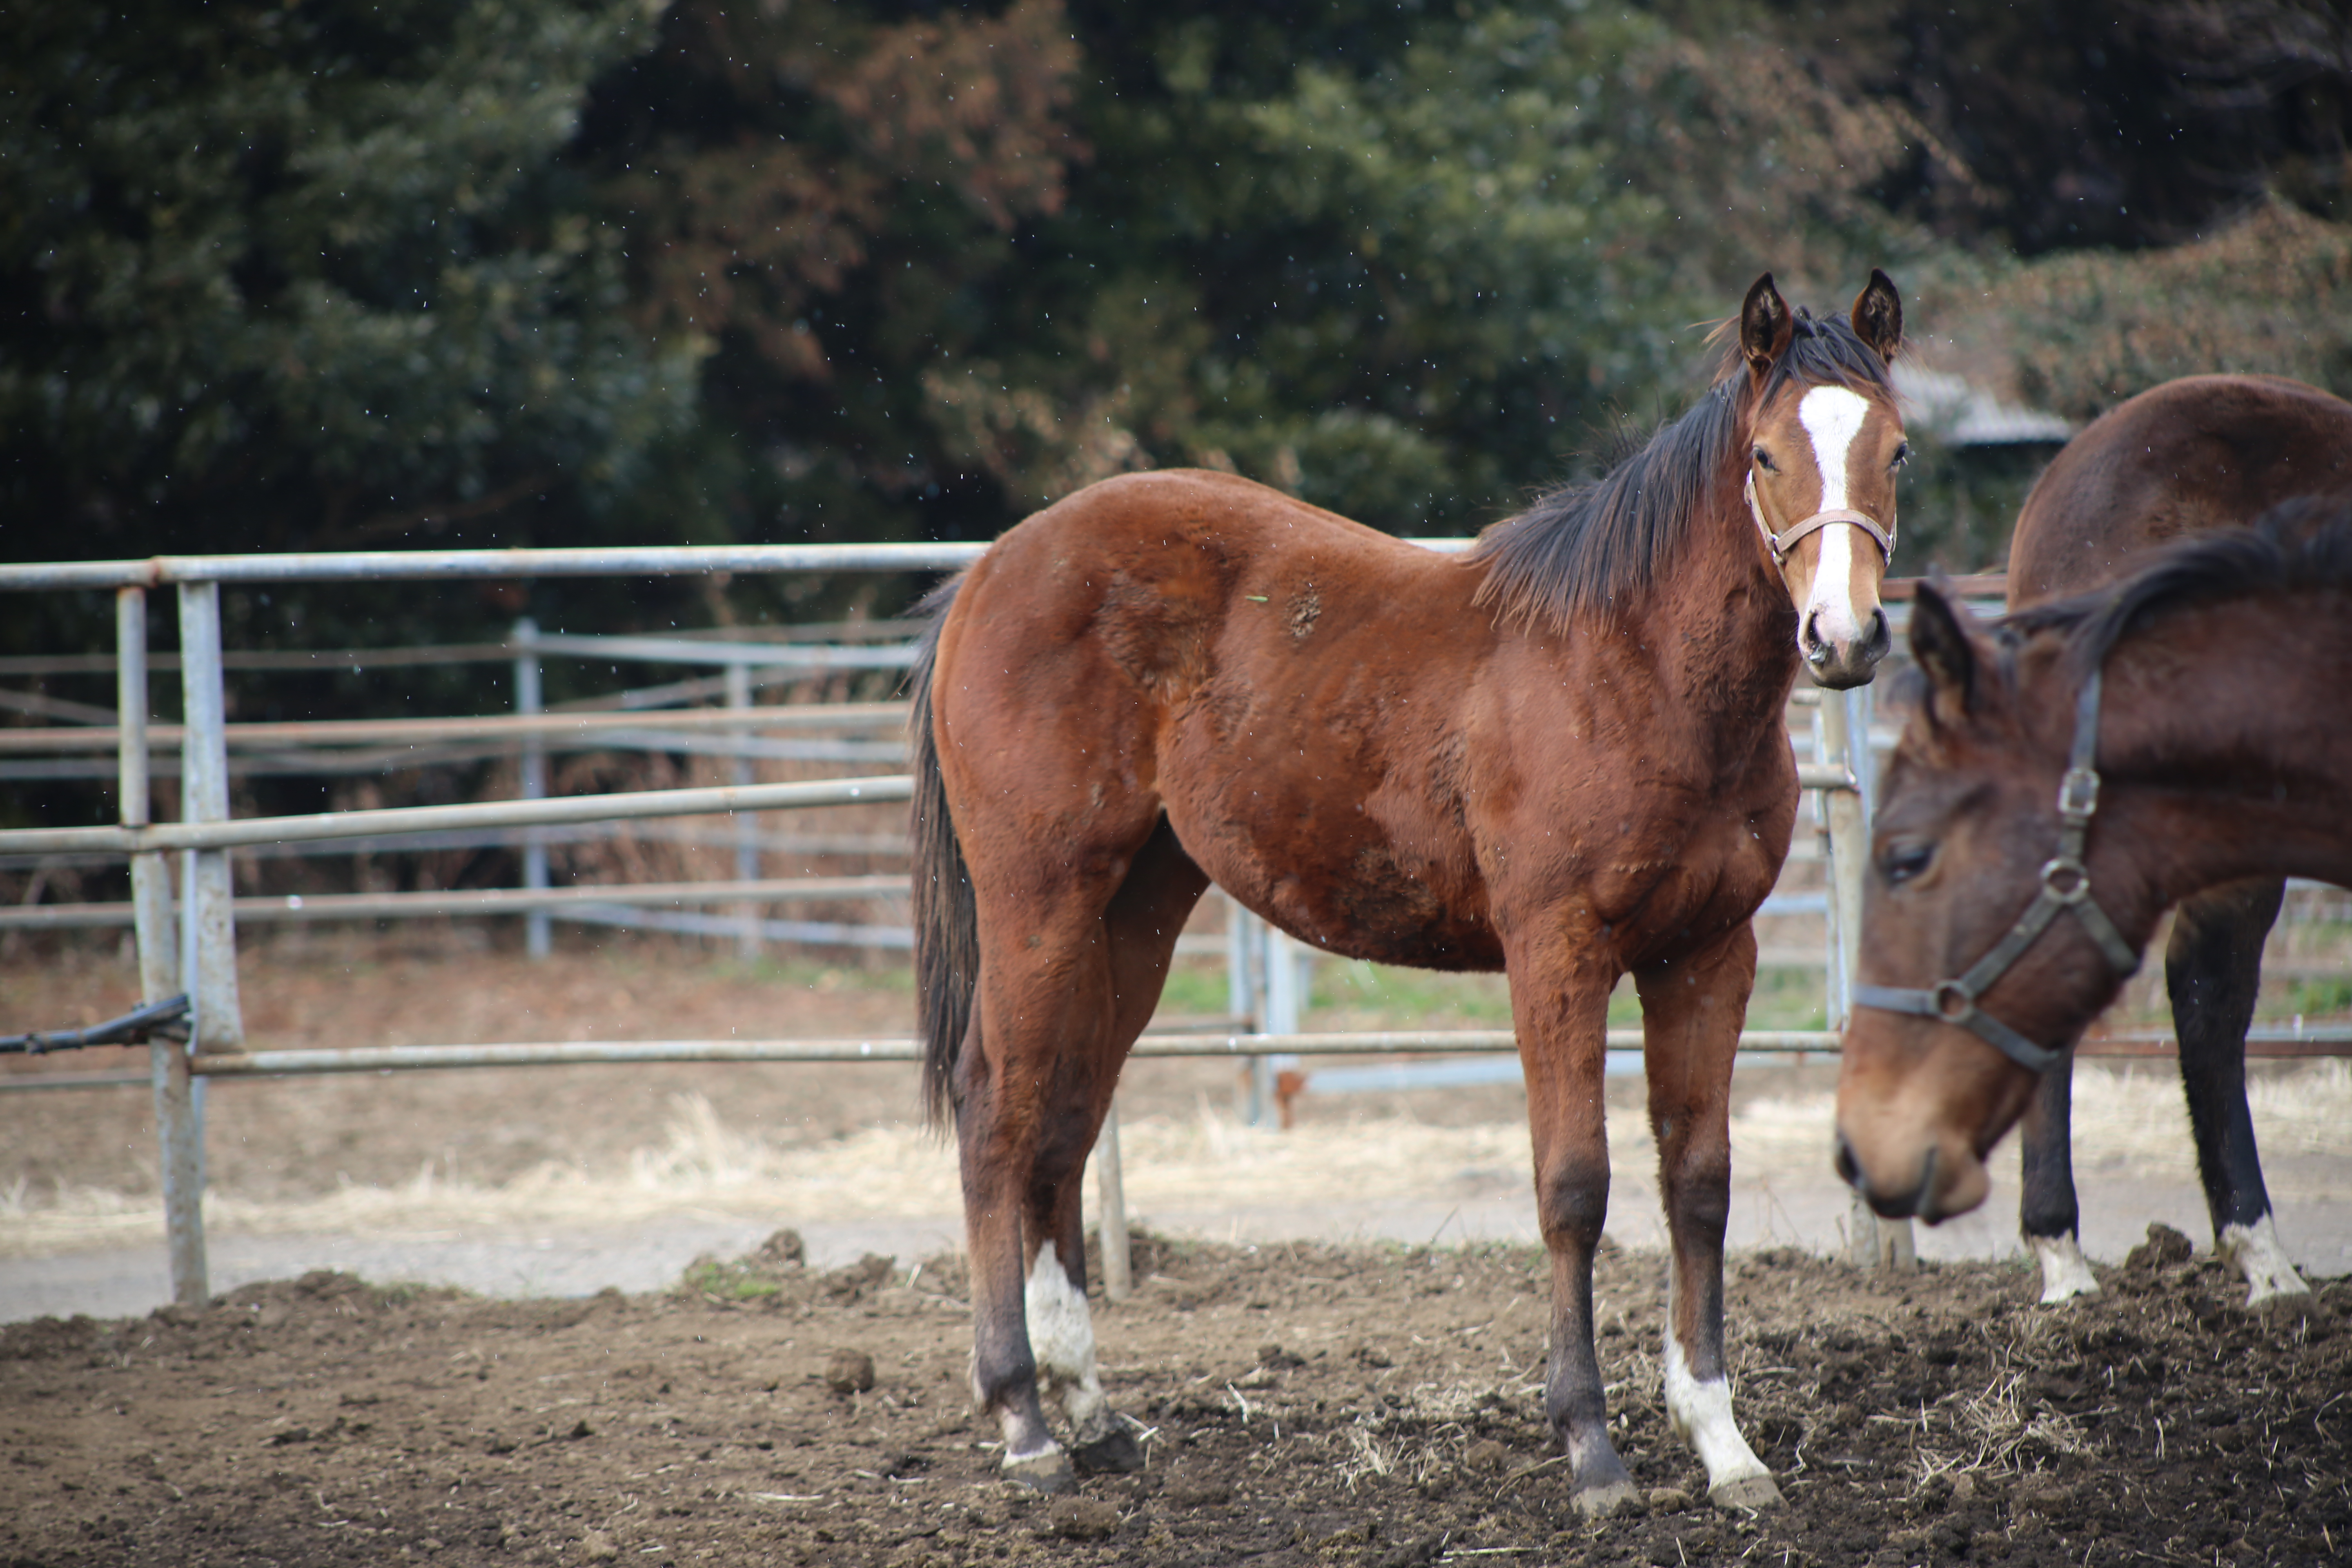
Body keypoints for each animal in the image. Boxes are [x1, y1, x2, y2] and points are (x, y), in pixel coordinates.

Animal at [903, 276, 1910, 1514]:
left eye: (1895, 452)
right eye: (1765, 456)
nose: (1845, 636)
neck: (1634, 670)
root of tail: (989, 570)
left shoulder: (1709, 956)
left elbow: (1699, 1185)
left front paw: (1724, 1444)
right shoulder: (1557, 952)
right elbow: (1575, 1186)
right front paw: (1592, 1451)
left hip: (1132, 910)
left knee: (1064, 1116)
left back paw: (1091, 1412)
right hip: (1037, 902)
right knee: (998, 1110)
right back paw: (1024, 1420)